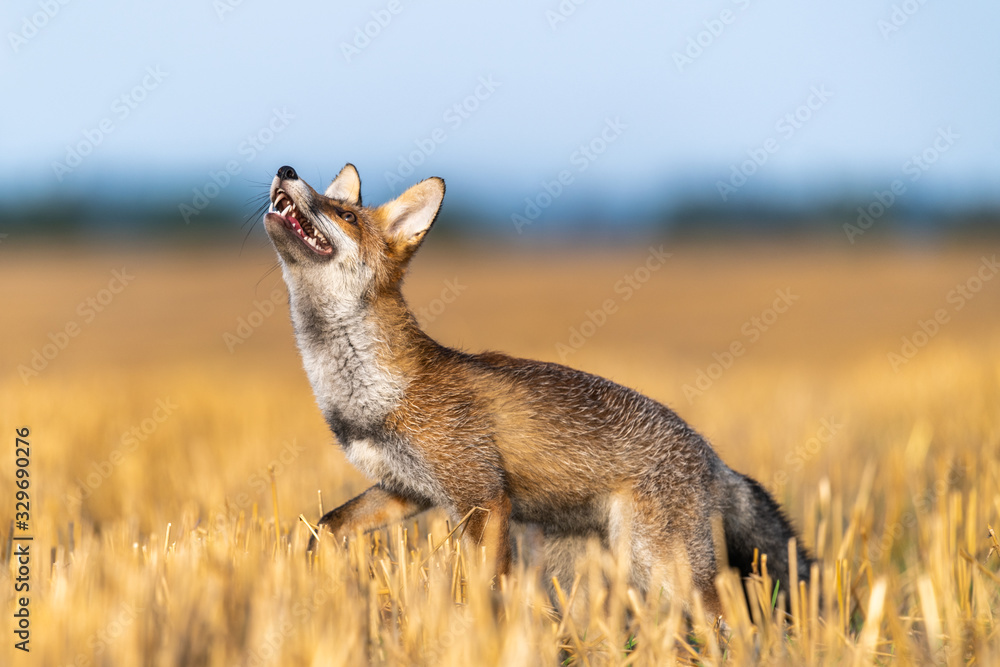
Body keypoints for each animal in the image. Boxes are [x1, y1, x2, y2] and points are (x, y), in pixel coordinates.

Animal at [261, 163, 812, 619]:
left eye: (344, 214)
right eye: (333, 203)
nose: (285, 169)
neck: (367, 393)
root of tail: (713, 458)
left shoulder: (483, 496)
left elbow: (487, 585)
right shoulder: (405, 490)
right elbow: (324, 525)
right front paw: (308, 576)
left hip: (662, 565)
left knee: (728, 618)